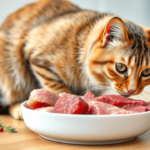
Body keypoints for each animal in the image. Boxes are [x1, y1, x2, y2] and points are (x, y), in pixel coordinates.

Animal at [0, 0, 150, 119]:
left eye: (147, 71)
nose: (132, 90)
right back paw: (18, 109)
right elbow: (58, 86)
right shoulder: (38, 57)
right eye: (121, 67)